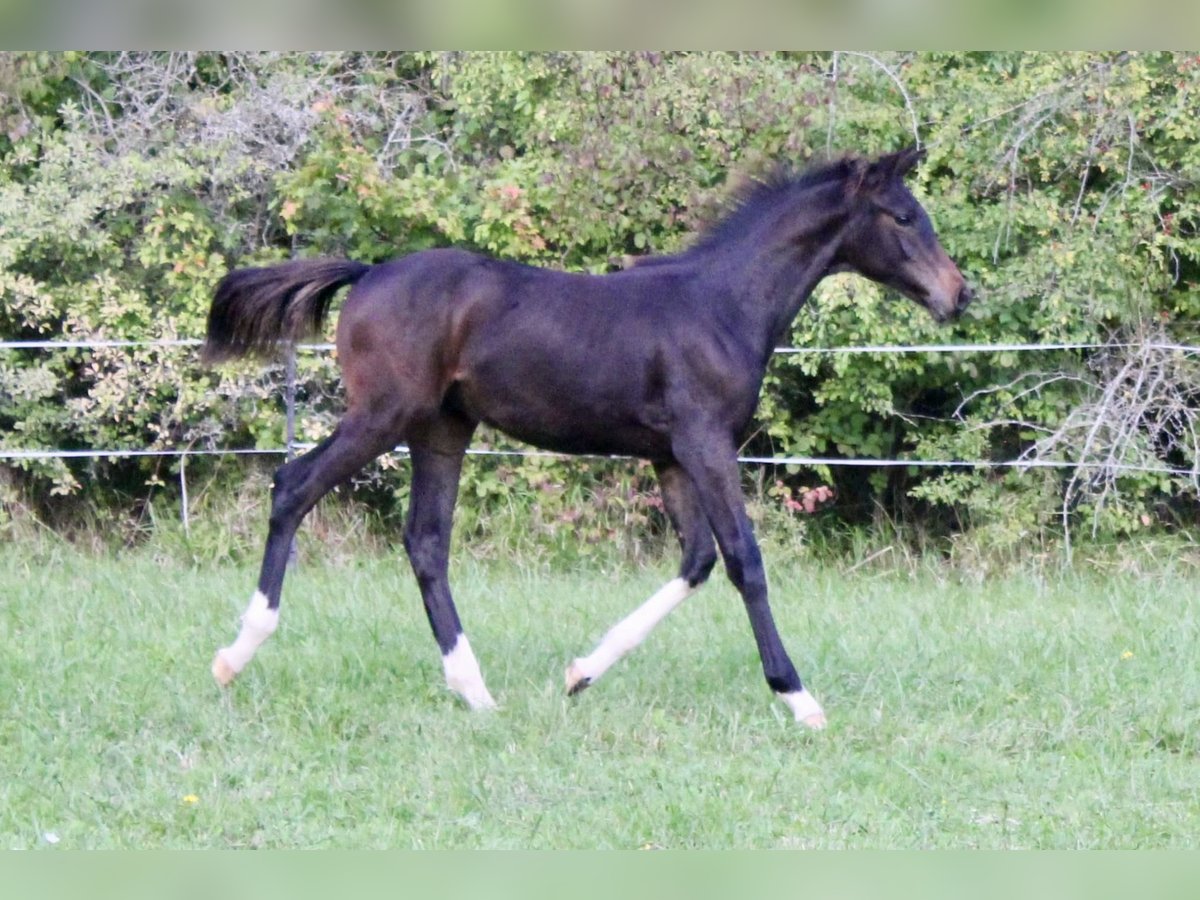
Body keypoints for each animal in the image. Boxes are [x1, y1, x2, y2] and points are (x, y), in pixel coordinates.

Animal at [203, 146, 972, 729]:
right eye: (904, 216)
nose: (959, 295)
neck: (723, 305)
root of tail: (367, 274)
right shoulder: (707, 445)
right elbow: (743, 560)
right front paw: (799, 698)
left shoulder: (671, 457)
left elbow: (695, 561)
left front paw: (579, 674)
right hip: (383, 415)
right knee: (293, 486)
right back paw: (235, 654)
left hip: (442, 429)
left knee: (425, 542)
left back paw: (476, 693)